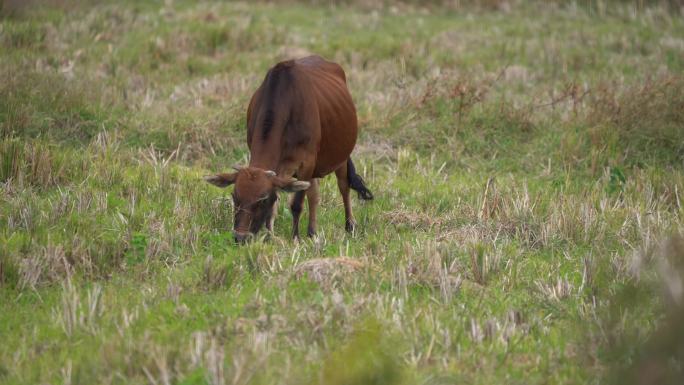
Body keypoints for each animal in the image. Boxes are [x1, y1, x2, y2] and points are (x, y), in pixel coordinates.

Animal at [204, 55, 372, 242]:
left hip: (341, 158)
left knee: (343, 187)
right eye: (235, 196)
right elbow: (278, 202)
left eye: (262, 200)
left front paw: (295, 238)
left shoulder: (306, 163)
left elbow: (296, 204)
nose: (241, 237)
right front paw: (270, 237)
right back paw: (312, 232)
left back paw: (350, 226)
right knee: (314, 194)